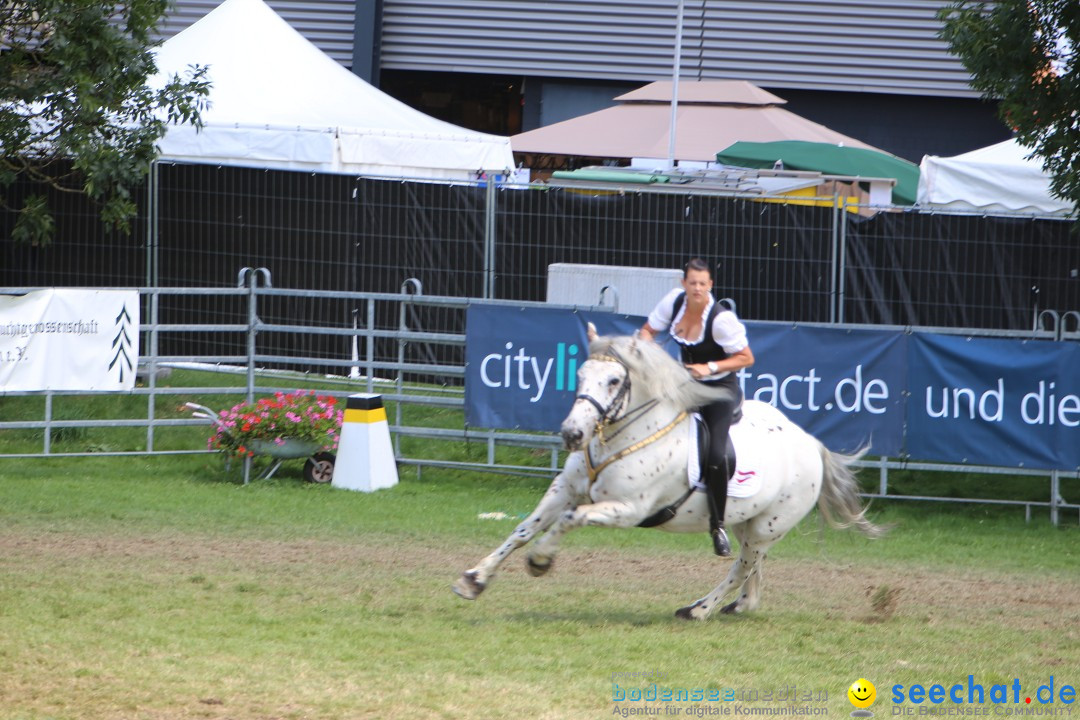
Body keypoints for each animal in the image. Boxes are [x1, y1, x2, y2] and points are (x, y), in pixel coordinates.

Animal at [451, 325, 881, 621]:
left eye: (614, 380)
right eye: (580, 375)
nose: (572, 434)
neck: (621, 438)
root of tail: (812, 444)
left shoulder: (626, 510)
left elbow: (570, 520)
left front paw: (541, 561)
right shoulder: (566, 488)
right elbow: (523, 529)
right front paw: (474, 580)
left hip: (768, 527)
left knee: (741, 566)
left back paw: (699, 609)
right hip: (749, 521)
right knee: (752, 567)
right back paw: (740, 606)